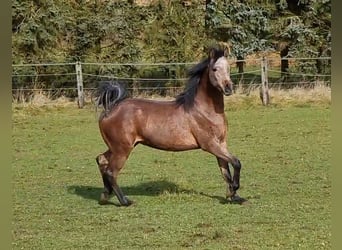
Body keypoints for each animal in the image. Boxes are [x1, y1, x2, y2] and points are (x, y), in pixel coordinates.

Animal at [94, 46, 243, 206]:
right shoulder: (209, 144)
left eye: (228, 68)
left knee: (101, 160)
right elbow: (236, 162)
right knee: (111, 171)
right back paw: (125, 201)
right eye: (215, 69)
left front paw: (234, 196)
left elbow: (225, 171)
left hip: (116, 147)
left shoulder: (221, 143)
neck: (204, 110)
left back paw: (105, 196)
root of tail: (111, 108)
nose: (228, 88)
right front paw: (235, 188)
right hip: (122, 149)